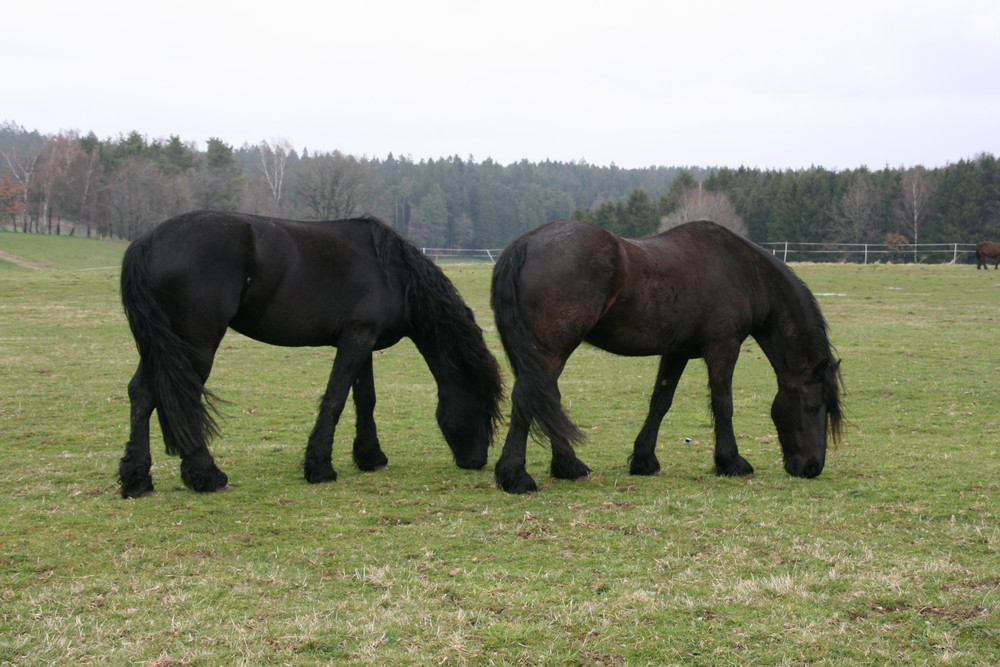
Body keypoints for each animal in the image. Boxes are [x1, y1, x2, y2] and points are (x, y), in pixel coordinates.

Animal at [118, 211, 504, 498]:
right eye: (484, 408)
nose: (477, 461)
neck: (392, 272)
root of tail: (148, 242)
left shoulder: (364, 341)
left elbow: (365, 399)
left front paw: (370, 457)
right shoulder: (356, 339)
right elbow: (335, 399)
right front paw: (319, 467)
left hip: (159, 346)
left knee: (142, 394)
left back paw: (137, 480)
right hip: (194, 344)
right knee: (181, 399)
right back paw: (206, 475)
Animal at [488, 220, 840, 496]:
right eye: (813, 406)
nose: (812, 467)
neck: (745, 272)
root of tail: (524, 244)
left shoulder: (676, 352)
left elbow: (660, 402)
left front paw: (644, 460)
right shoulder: (723, 348)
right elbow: (723, 404)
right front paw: (730, 462)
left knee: (546, 399)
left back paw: (568, 466)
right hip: (550, 352)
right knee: (528, 400)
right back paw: (517, 477)